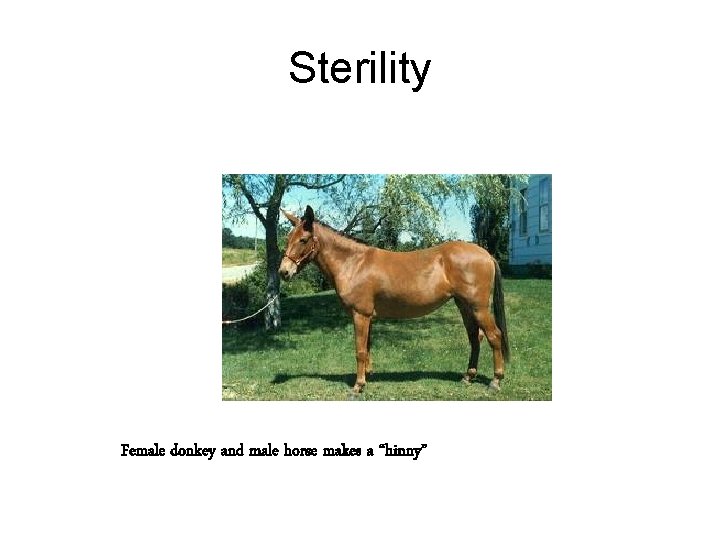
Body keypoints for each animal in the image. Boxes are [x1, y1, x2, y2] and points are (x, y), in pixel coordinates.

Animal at [278, 205, 510, 394]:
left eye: (303, 240)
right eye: (288, 238)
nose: (284, 272)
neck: (354, 262)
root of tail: (486, 255)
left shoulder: (360, 315)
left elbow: (360, 350)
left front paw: (358, 385)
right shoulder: (368, 317)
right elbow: (367, 347)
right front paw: (367, 376)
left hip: (479, 307)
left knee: (494, 336)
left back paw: (496, 381)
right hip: (464, 306)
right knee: (475, 338)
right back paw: (468, 377)